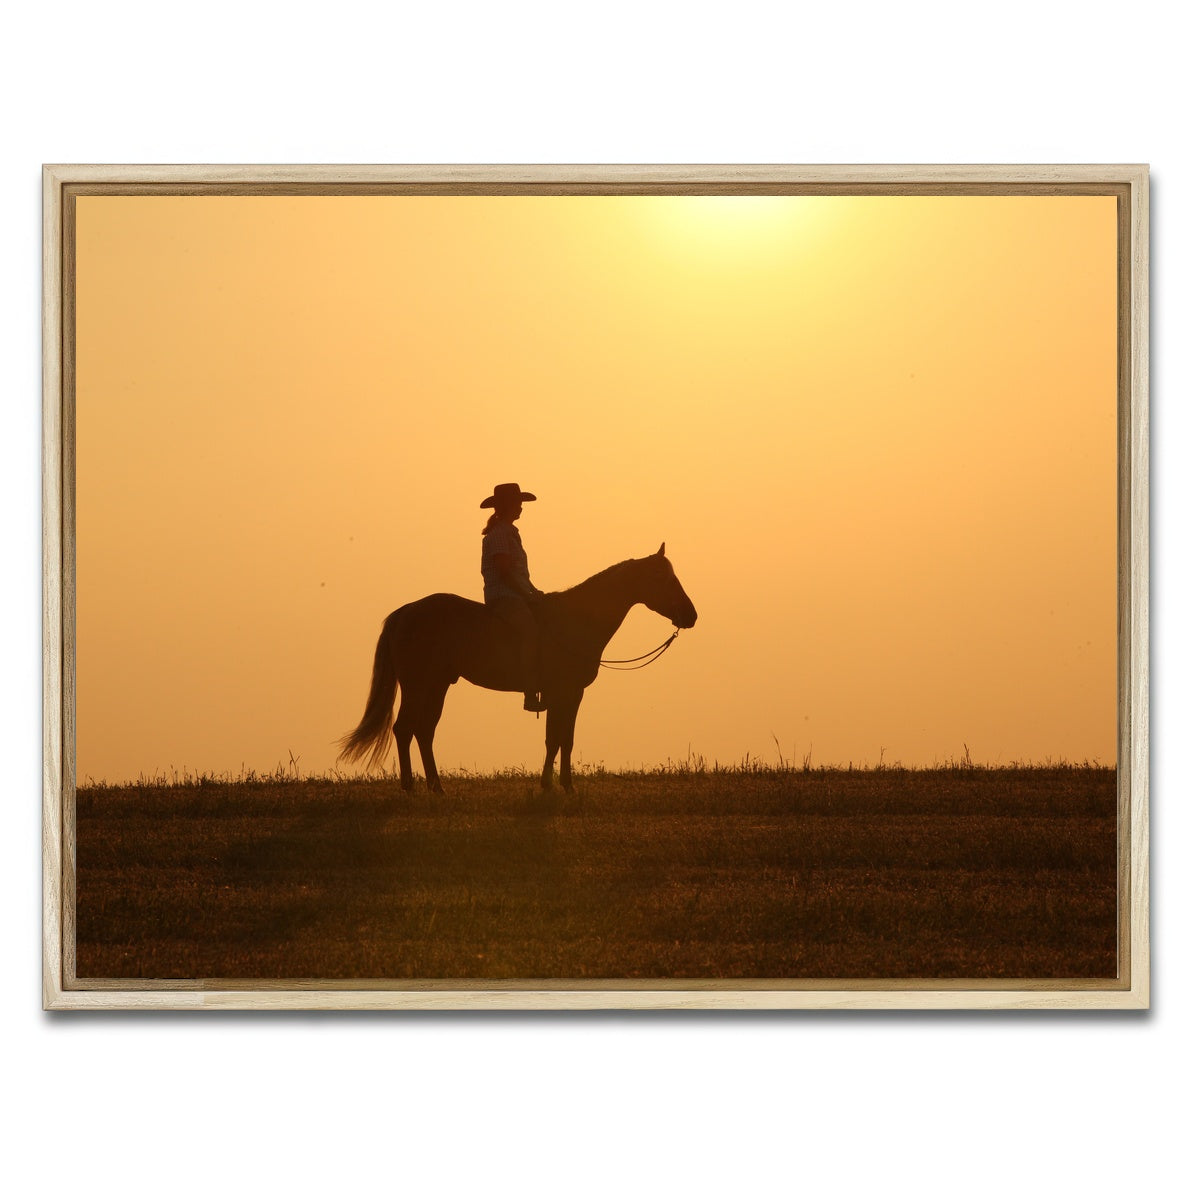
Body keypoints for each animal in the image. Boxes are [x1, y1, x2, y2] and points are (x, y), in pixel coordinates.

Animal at [338, 544, 697, 793]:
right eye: (663, 578)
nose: (691, 615)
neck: (576, 620)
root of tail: (404, 612)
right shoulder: (564, 692)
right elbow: (556, 739)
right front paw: (556, 786)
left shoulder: (570, 695)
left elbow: (563, 739)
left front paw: (559, 785)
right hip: (417, 685)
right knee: (404, 729)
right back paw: (410, 787)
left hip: (437, 686)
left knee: (424, 731)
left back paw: (437, 788)